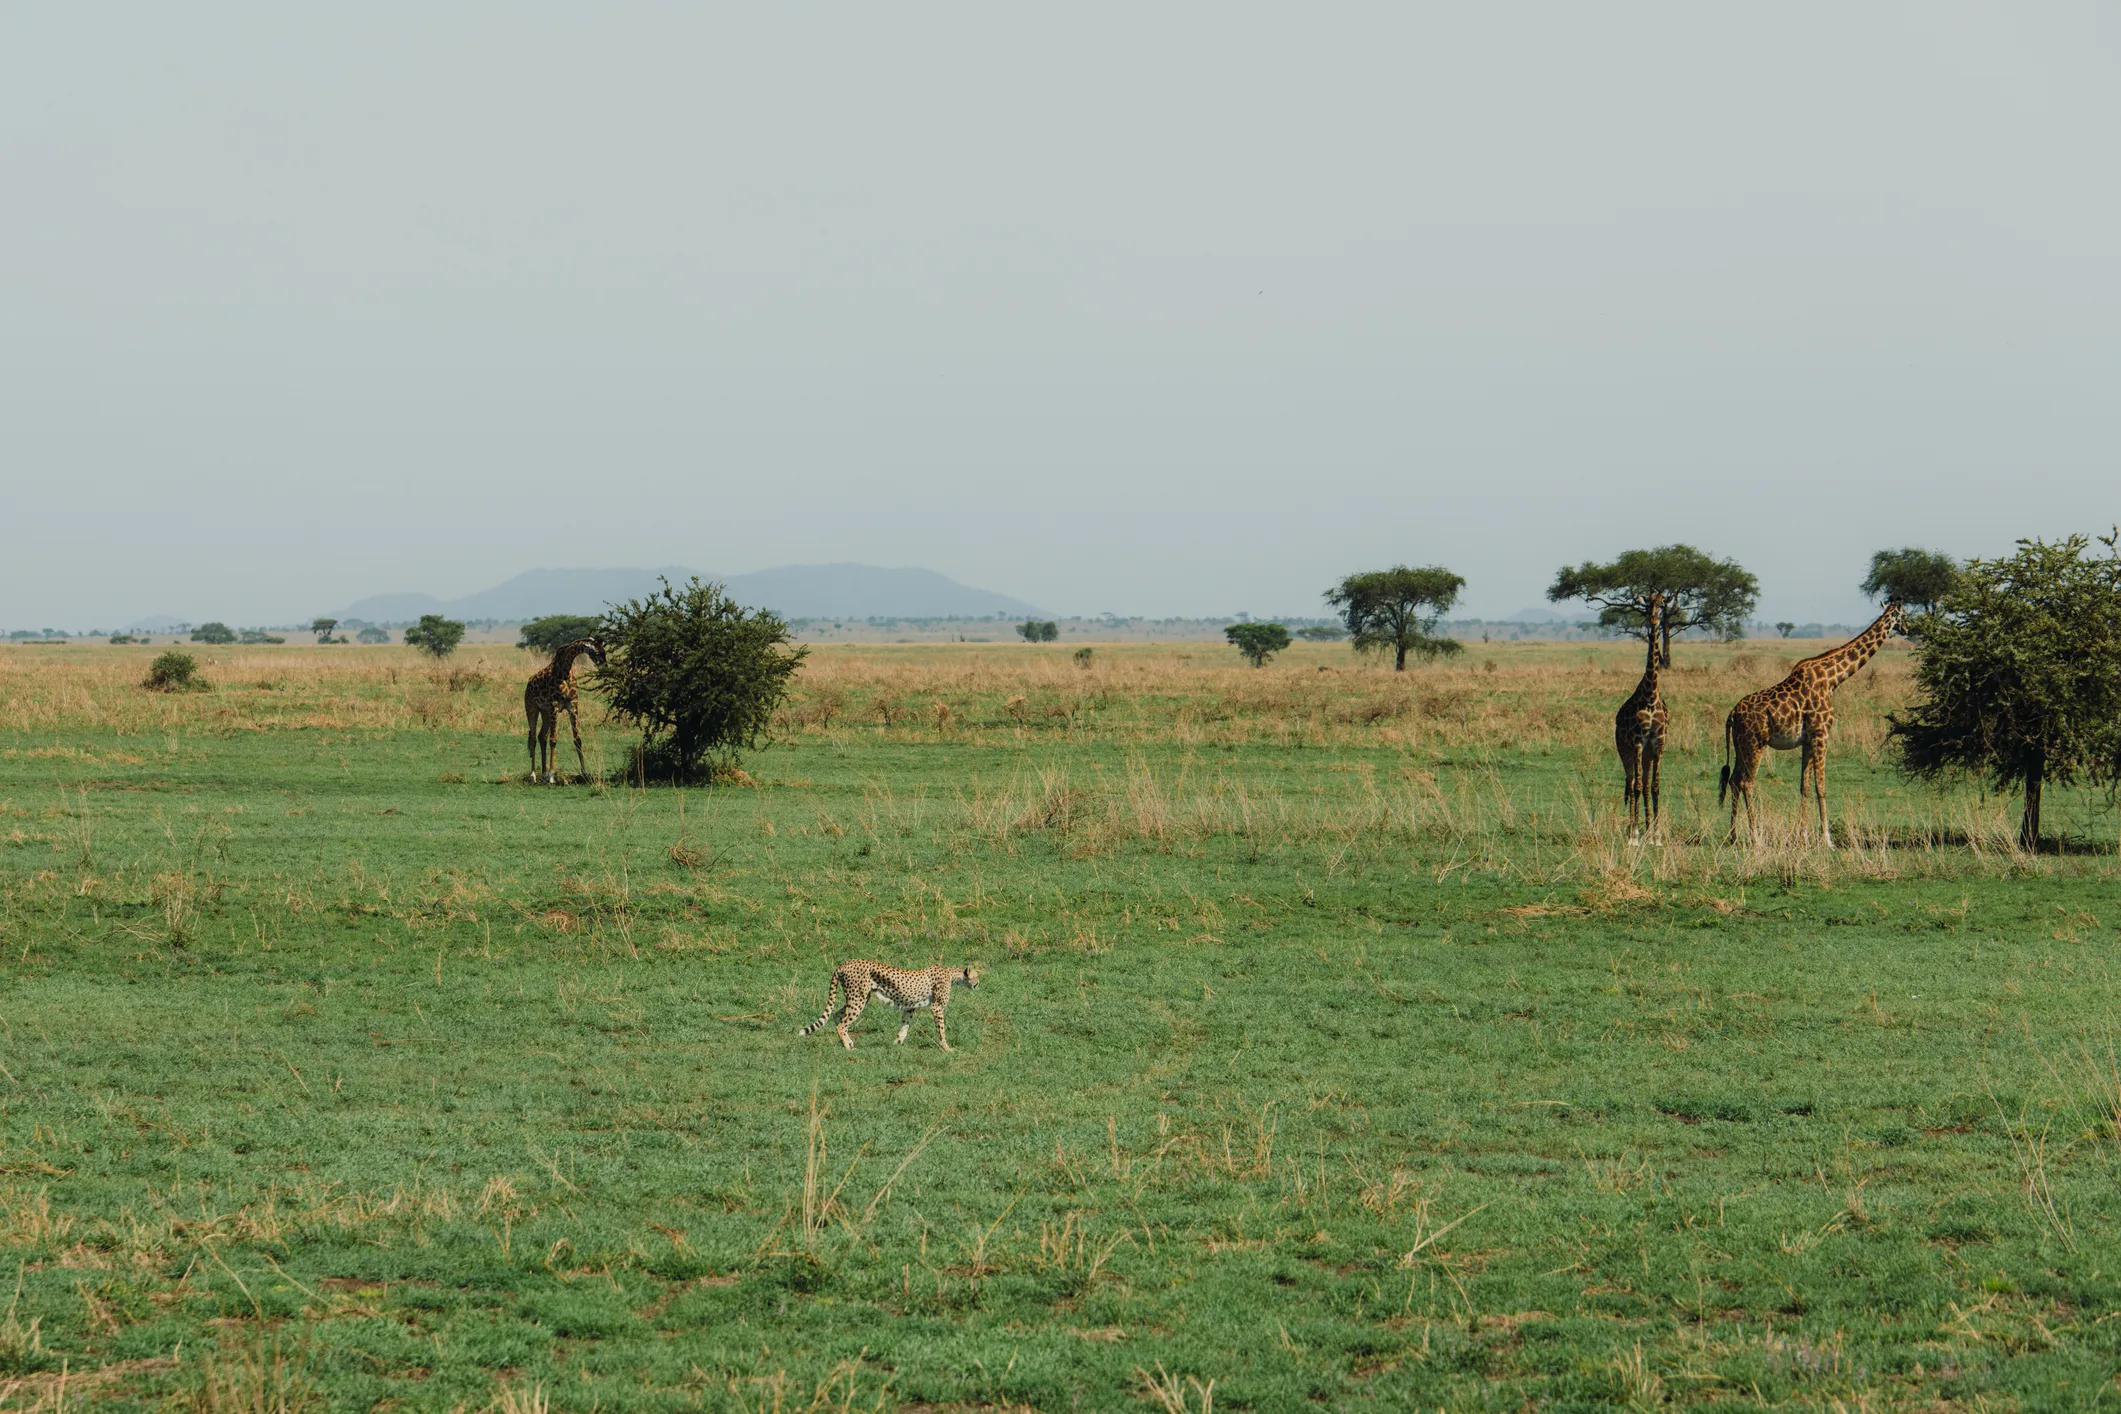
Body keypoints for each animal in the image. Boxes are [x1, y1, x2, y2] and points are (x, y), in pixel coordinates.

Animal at [796, 961, 980, 1051]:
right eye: (976, 976)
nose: (978, 984)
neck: (951, 974)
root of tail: (844, 963)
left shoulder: (909, 1007)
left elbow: (904, 1026)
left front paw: (897, 1043)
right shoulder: (937, 1008)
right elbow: (941, 1030)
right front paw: (947, 1048)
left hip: (858, 998)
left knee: (837, 1015)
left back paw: (847, 1043)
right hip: (858, 999)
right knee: (842, 1024)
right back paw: (848, 1047)